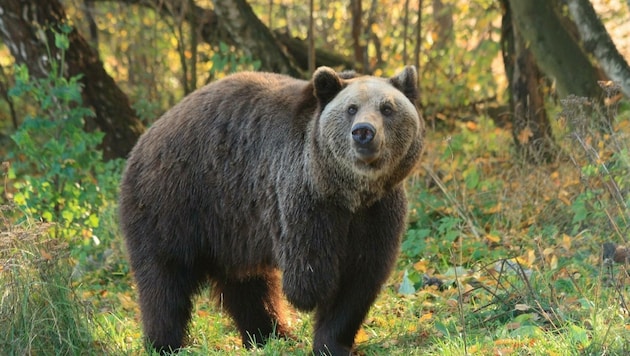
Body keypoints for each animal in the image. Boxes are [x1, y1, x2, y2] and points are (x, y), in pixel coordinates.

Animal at [118, 65, 424, 354]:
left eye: (387, 108)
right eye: (351, 108)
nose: (363, 132)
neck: (349, 193)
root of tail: (145, 138)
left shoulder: (378, 212)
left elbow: (359, 279)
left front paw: (333, 343)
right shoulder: (303, 201)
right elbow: (311, 279)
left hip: (230, 227)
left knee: (247, 285)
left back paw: (269, 334)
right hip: (176, 203)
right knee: (164, 280)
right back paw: (165, 343)